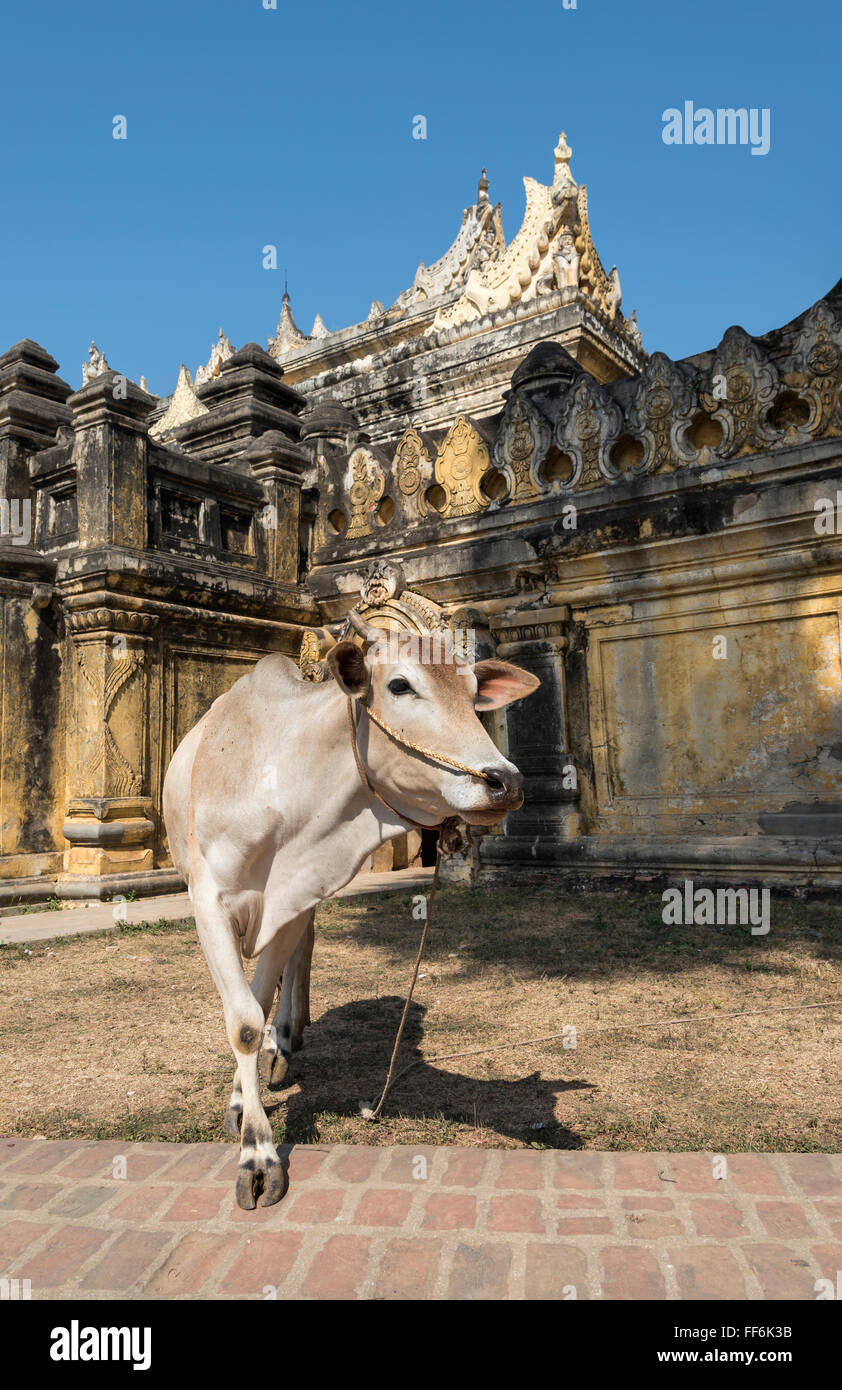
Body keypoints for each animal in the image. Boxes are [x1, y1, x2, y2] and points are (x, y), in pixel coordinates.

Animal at [165, 617, 541, 1206]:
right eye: (400, 685)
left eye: (473, 691)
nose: (508, 782)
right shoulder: (208, 900)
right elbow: (243, 1023)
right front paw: (255, 1152)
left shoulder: (293, 896)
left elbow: (259, 999)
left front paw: (254, 1096)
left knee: (300, 957)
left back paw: (287, 1035)